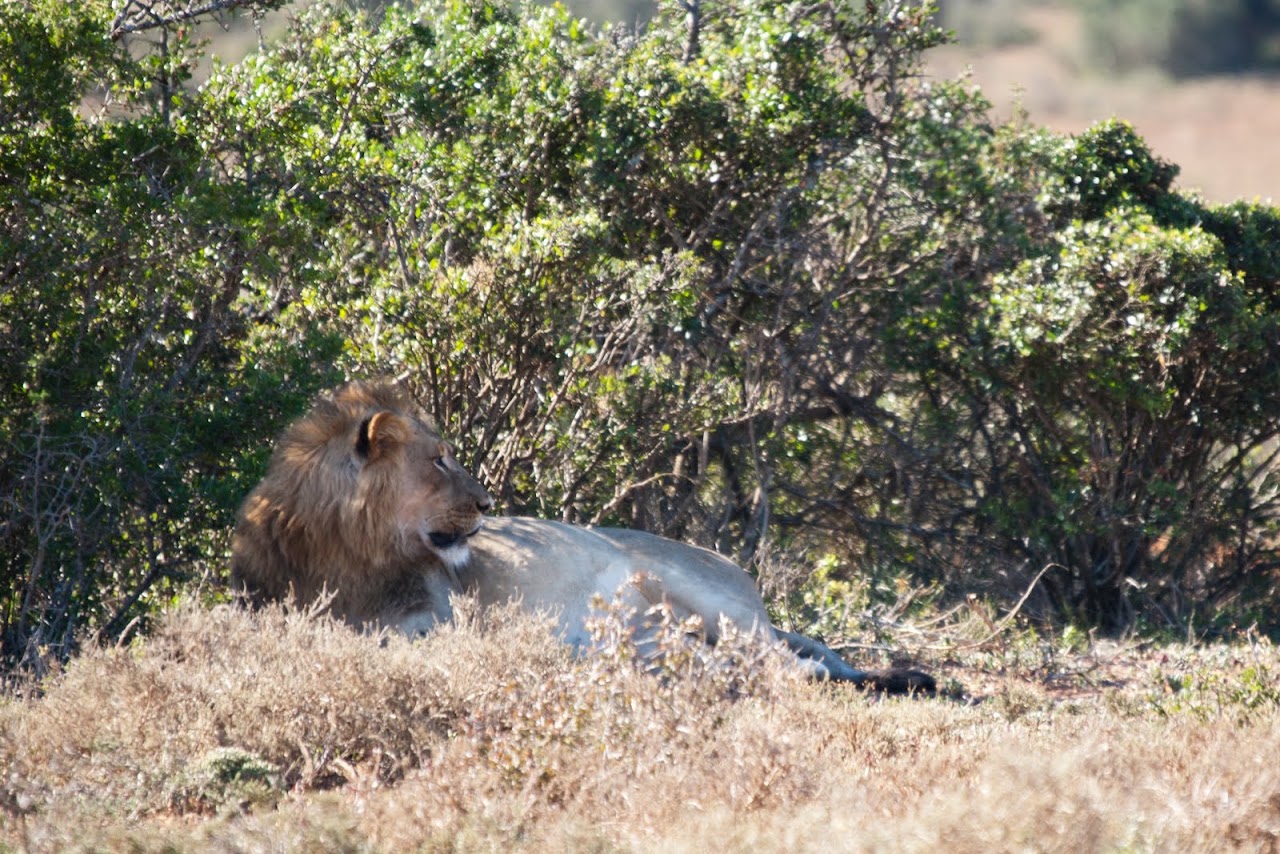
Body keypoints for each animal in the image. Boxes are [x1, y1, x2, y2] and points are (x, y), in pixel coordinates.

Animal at [231, 381, 935, 694]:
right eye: (439, 462)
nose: (488, 504)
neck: (346, 550)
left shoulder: (441, 621)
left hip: (697, 593)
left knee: (783, 663)